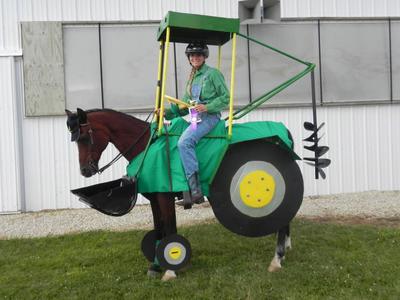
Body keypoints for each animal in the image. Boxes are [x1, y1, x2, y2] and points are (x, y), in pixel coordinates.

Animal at [65, 108, 290, 282]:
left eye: (84, 138)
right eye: (74, 140)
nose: (85, 171)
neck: (148, 146)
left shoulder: (165, 197)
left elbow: (170, 229)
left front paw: (171, 268)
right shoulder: (155, 198)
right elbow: (159, 229)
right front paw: (155, 266)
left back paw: (277, 259)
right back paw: (285, 249)